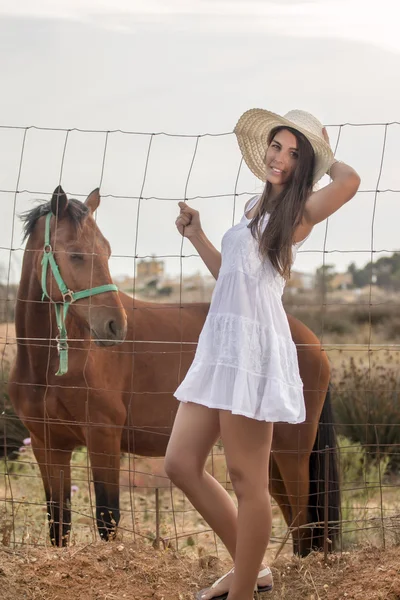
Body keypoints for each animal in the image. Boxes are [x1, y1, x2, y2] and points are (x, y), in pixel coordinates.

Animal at [9, 188, 340, 556]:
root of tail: (311, 340)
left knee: (304, 519)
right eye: (76, 254)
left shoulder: (103, 439)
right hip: (269, 457)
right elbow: (58, 523)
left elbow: (107, 517)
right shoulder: (48, 447)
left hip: (291, 451)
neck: (50, 366)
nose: (115, 326)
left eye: (106, 252)